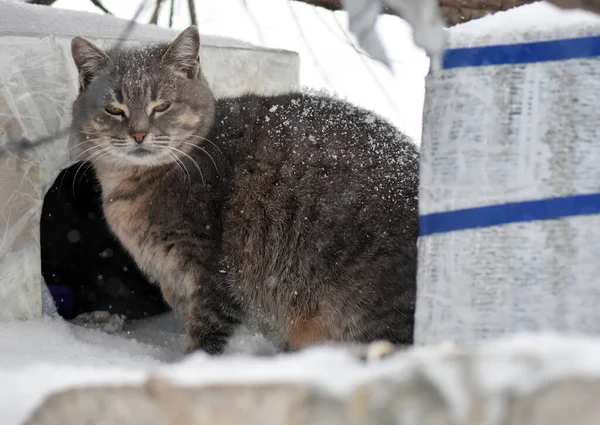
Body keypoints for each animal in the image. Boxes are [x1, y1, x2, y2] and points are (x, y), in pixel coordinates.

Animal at [69, 24, 418, 352]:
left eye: (162, 106)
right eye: (115, 109)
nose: (139, 134)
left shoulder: (213, 268)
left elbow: (206, 330)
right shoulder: (175, 279)